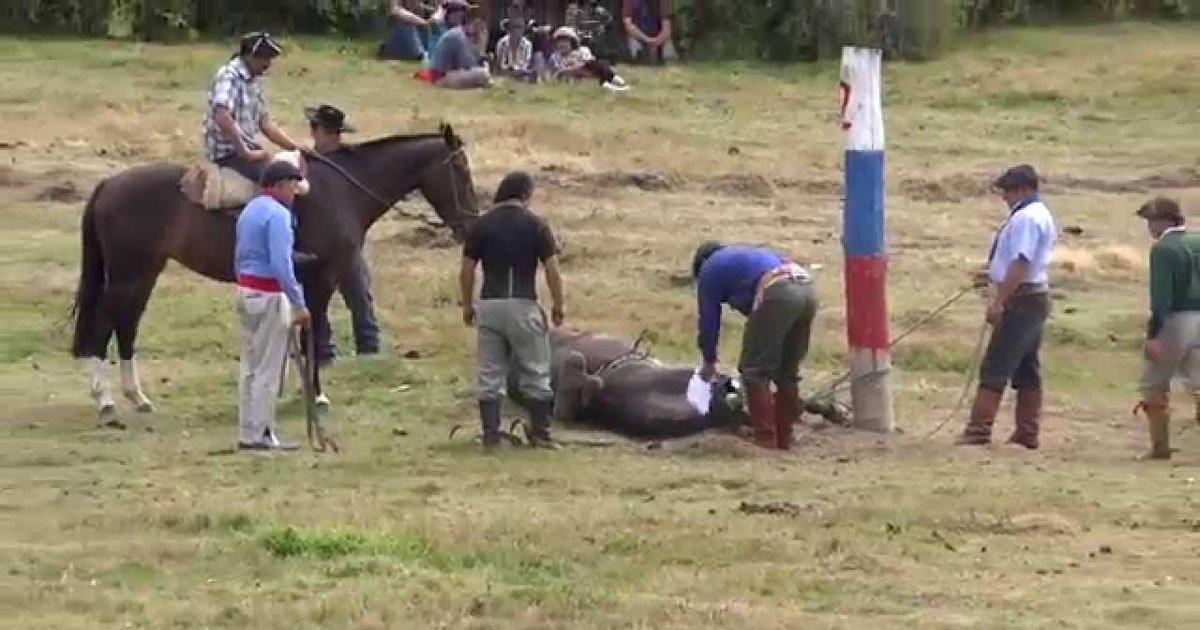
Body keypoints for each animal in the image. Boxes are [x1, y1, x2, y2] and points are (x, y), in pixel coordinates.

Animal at [70, 125, 477, 415]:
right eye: (460, 168)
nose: (470, 223)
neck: (342, 192)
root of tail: (107, 185)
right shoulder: (321, 279)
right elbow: (313, 330)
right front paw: (315, 394)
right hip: (128, 275)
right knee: (105, 325)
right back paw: (105, 400)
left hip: (144, 274)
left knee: (127, 325)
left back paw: (137, 397)